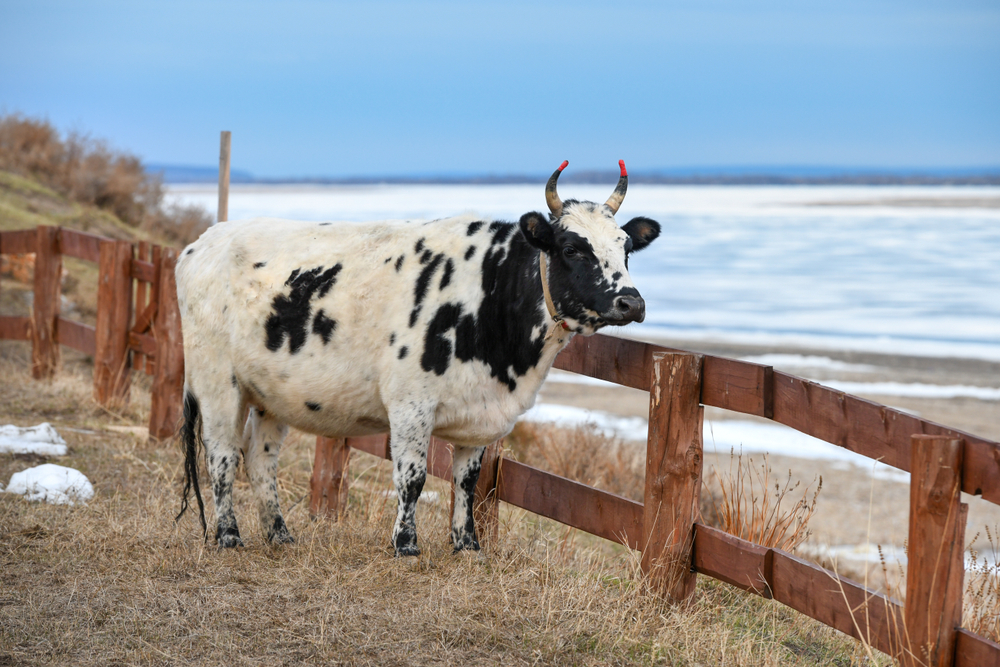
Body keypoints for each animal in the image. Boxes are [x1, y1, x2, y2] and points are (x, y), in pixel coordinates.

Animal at [178, 163, 664, 560]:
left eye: (625, 248)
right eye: (571, 248)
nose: (631, 302)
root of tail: (201, 243)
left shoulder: (480, 413)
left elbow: (466, 481)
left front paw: (467, 545)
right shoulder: (411, 404)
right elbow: (412, 477)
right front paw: (406, 544)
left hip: (270, 396)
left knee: (261, 459)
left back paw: (280, 535)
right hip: (218, 383)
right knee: (222, 455)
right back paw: (228, 536)